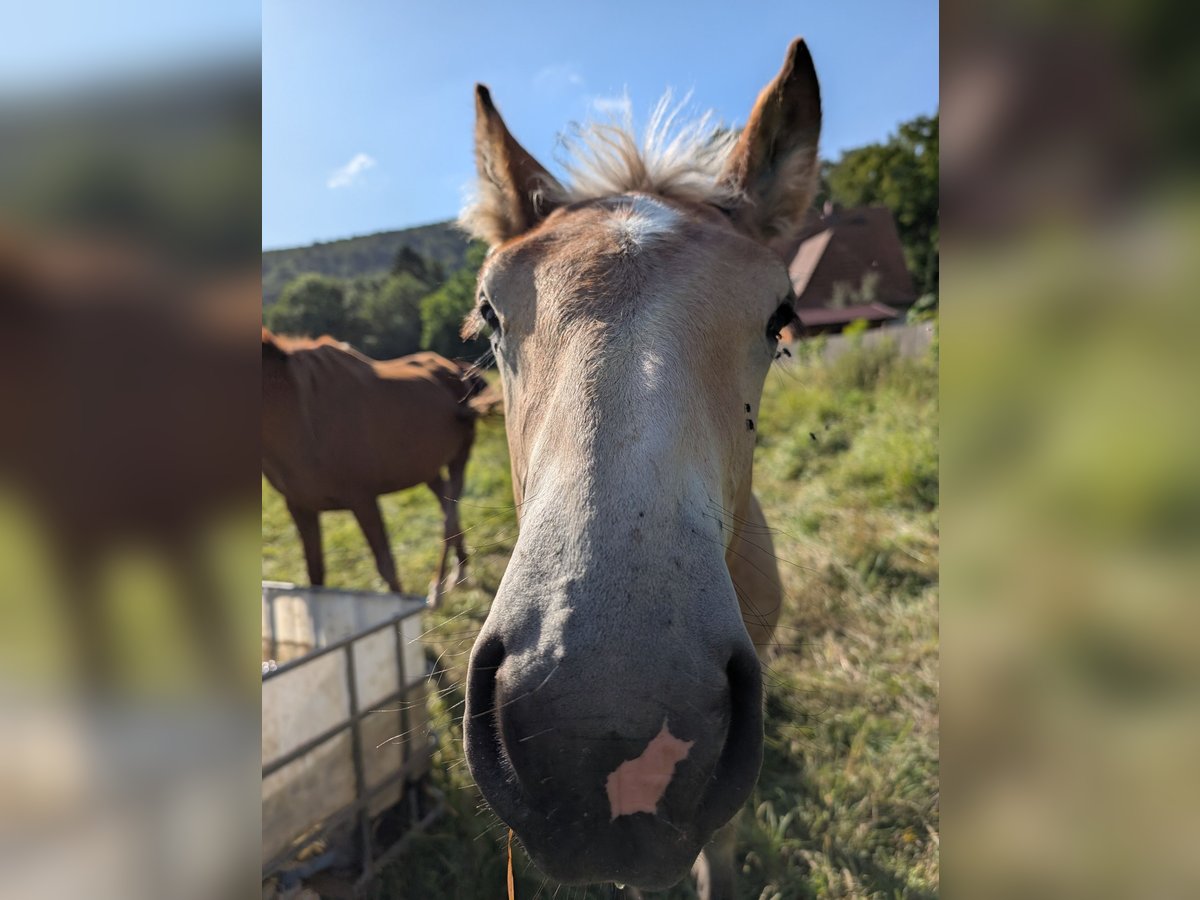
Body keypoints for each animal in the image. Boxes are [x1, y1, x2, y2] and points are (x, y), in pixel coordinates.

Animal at [261, 329, 487, 605]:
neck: (301, 420)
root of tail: (455, 368)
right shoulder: (300, 507)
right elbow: (315, 576)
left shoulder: (363, 501)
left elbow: (386, 566)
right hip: (427, 469)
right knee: (447, 507)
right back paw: (460, 569)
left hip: (460, 457)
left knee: (448, 516)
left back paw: (437, 587)